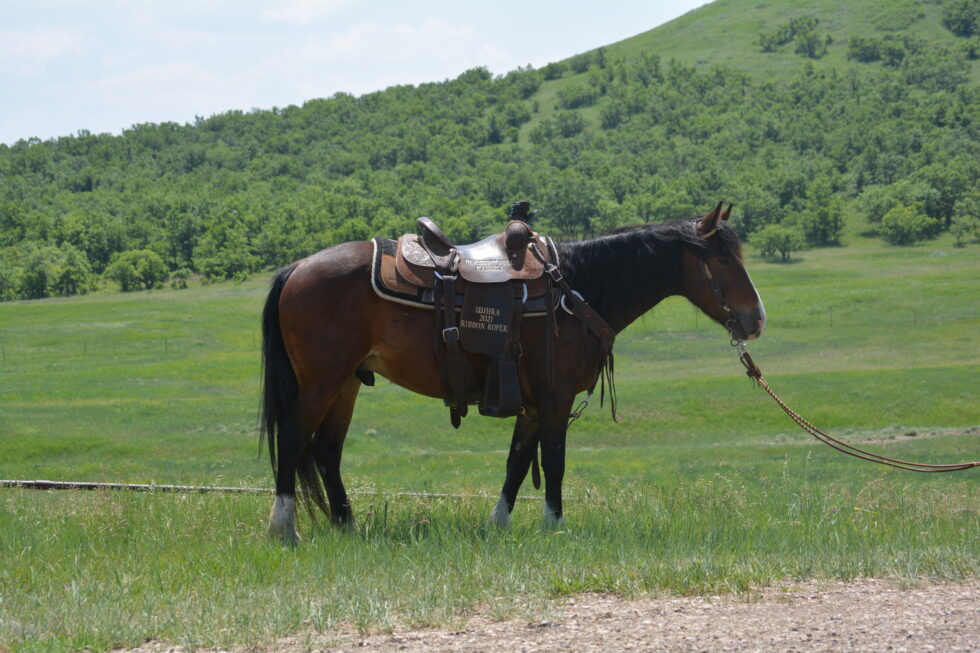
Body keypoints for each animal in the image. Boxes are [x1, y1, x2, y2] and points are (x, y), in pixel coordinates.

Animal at [260, 202, 765, 543]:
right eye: (723, 260)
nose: (756, 318)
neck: (575, 290)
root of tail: (295, 268)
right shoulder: (555, 399)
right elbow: (554, 462)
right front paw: (554, 525)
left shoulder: (532, 405)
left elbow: (518, 463)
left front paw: (498, 525)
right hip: (321, 384)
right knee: (294, 440)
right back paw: (285, 529)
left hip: (346, 385)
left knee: (326, 452)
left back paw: (347, 526)